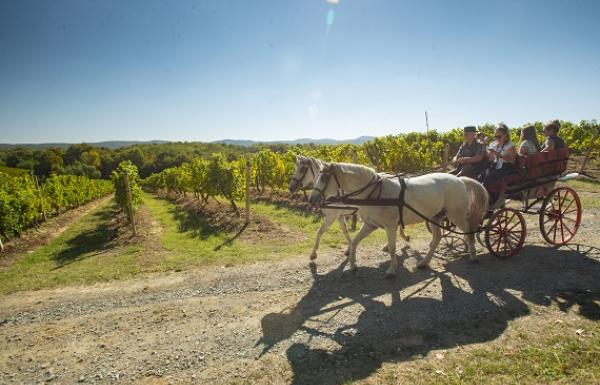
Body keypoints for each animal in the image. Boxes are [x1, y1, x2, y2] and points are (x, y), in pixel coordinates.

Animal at [308, 162, 490, 276]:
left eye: (324, 178)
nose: (311, 200)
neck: (375, 193)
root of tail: (460, 179)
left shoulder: (390, 226)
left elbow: (393, 247)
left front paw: (392, 270)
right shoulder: (370, 225)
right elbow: (354, 242)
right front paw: (352, 265)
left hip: (456, 215)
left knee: (469, 233)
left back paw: (473, 256)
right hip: (434, 217)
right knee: (437, 238)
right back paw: (424, 262)